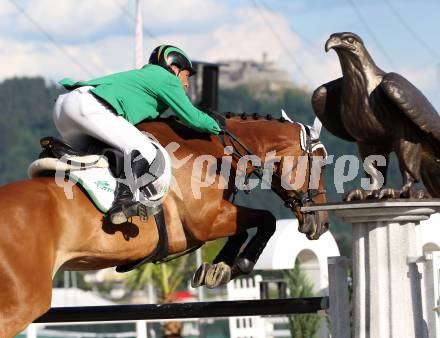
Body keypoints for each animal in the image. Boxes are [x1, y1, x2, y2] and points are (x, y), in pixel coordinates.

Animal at [0, 113, 328, 336]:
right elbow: (265, 219)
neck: (212, 151)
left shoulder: (212, 221)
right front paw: (235, 265)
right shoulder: (207, 222)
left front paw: (217, 270)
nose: (321, 224)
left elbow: (246, 228)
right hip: (23, 302)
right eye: (320, 164)